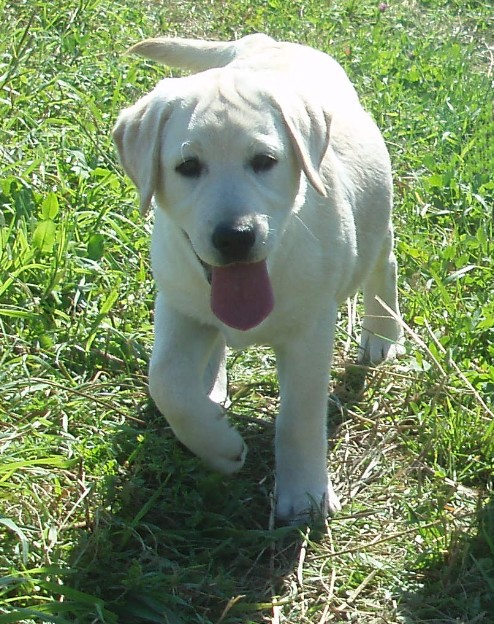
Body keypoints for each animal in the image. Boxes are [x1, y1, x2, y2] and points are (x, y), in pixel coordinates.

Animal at [113, 33, 403, 524]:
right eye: (188, 167)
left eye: (264, 161)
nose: (235, 237)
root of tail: (261, 41)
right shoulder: (178, 303)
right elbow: (166, 381)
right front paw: (219, 446)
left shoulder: (310, 331)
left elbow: (299, 416)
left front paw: (304, 495)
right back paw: (212, 390)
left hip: (376, 218)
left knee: (383, 263)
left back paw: (382, 333)